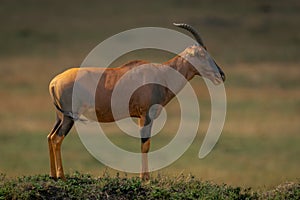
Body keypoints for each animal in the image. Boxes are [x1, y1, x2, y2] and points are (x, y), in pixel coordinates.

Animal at [47, 23, 225, 180]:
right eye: (201, 54)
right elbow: (145, 145)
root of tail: (54, 82)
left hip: (60, 117)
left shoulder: (140, 117)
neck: (161, 74)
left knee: (50, 137)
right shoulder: (146, 115)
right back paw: (61, 176)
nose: (221, 75)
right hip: (69, 117)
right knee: (57, 138)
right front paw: (145, 178)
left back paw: (53, 176)